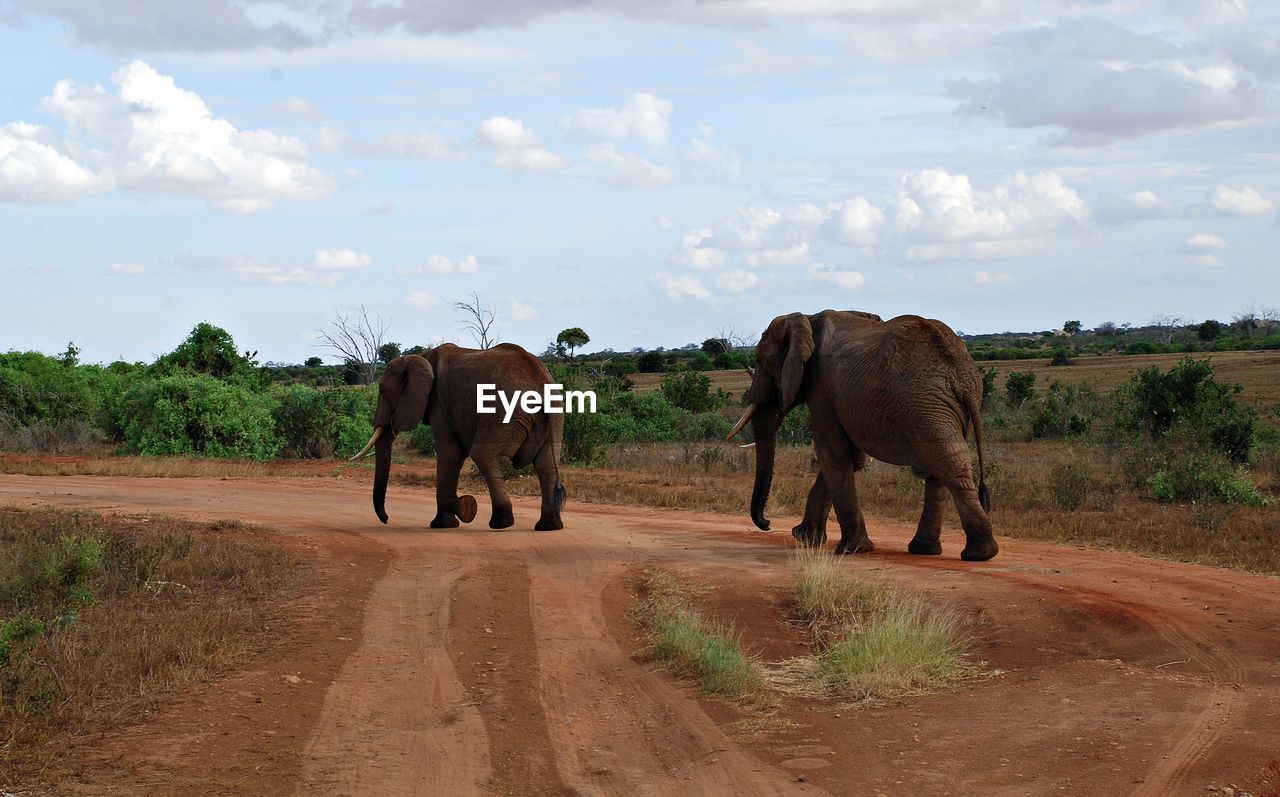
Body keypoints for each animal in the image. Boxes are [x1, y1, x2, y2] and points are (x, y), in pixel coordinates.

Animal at [353, 345, 568, 532]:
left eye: (381, 390)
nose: (386, 519)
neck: (422, 356)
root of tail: (540, 382)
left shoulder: (438, 403)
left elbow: (450, 453)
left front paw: (455, 515)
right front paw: (455, 516)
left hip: (504, 412)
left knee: (484, 456)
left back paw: (501, 523)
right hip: (555, 414)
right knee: (547, 464)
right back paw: (548, 527)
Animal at [727, 310, 993, 560]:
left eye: (760, 359)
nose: (767, 523)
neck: (806, 318)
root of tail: (961, 371)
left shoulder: (821, 387)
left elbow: (831, 452)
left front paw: (850, 549)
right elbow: (851, 458)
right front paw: (805, 538)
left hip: (924, 403)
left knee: (946, 461)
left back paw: (979, 553)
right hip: (938, 406)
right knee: (940, 466)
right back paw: (928, 550)